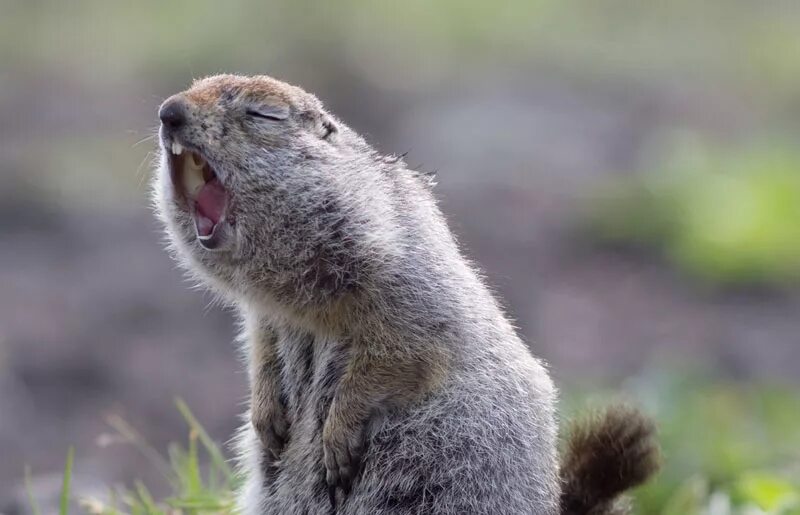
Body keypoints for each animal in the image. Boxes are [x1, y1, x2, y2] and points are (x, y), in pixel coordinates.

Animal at [152, 74, 656, 512]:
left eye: (263, 113)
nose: (168, 111)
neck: (299, 303)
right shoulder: (266, 315)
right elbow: (259, 345)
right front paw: (265, 417)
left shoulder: (403, 280)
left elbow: (406, 349)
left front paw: (337, 434)